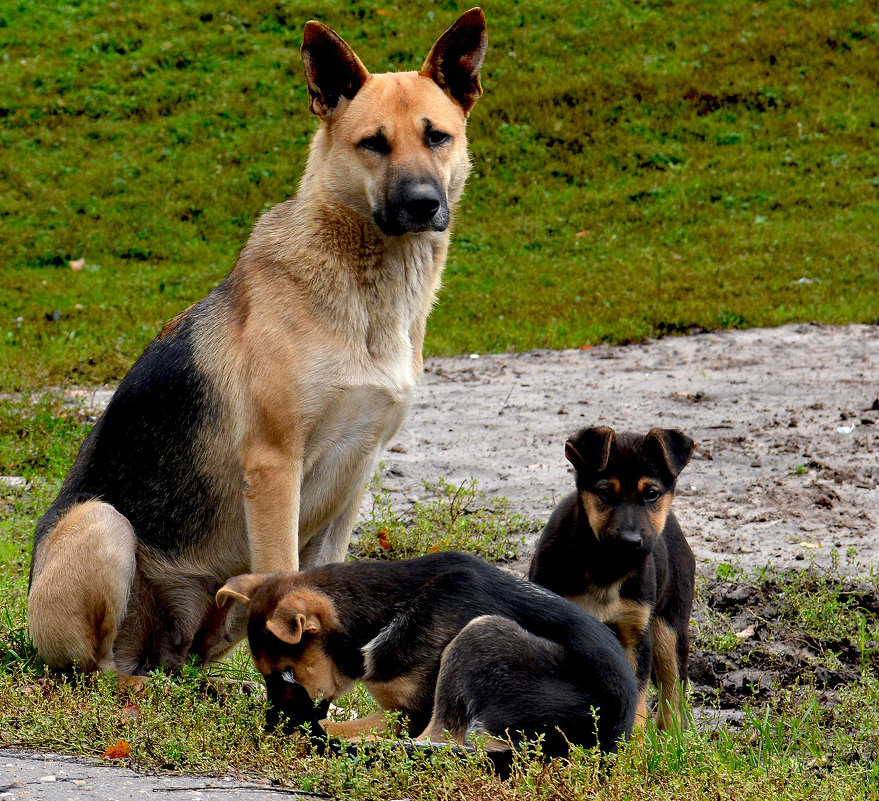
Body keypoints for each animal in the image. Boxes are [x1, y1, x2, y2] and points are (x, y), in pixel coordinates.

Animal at [27, 9, 492, 680]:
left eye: (438, 137)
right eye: (373, 143)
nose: (423, 205)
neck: (365, 292)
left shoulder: (355, 474)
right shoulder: (274, 468)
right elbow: (286, 581)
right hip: (101, 524)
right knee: (98, 670)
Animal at [217, 552, 636, 756]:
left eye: (286, 677)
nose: (267, 725)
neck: (386, 612)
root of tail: (608, 744)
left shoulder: (405, 714)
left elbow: (329, 723)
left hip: (481, 635)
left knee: (442, 741)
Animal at [528, 428, 696, 728]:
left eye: (651, 494)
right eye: (605, 492)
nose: (630, 542)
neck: (606, 568)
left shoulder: (635, 634)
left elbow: (637, 702)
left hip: (670, 627)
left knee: (673, 693)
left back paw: (672, 737)